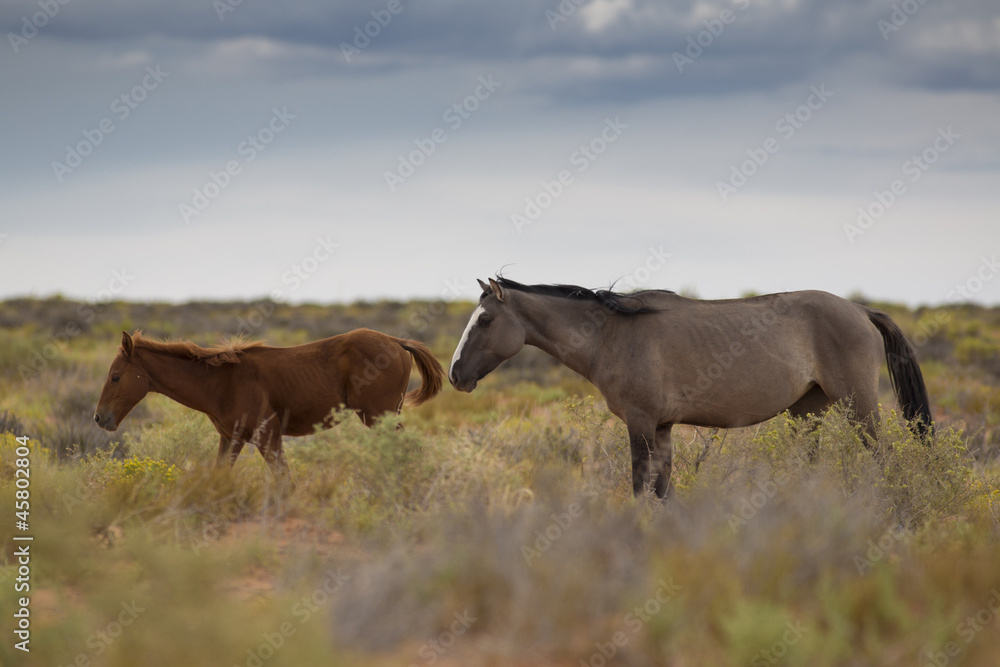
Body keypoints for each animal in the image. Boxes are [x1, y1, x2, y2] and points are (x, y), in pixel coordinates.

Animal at [95, 328, 444, 474]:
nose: (99, 418)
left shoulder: (269, 434)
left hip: (379, 417)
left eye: (115, 376)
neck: (222, 381)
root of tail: (397, 342)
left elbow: (283, 479)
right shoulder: (232, 438)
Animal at [450, 278, 932, 500]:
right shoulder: (662, 428)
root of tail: (860, 309)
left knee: (886, 459)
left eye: (486, 320)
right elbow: (663, 491)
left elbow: (640, 487)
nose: (455, 374)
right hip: (807, 413)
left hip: (859, 406)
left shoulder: (641, 424)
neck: (612, 335)